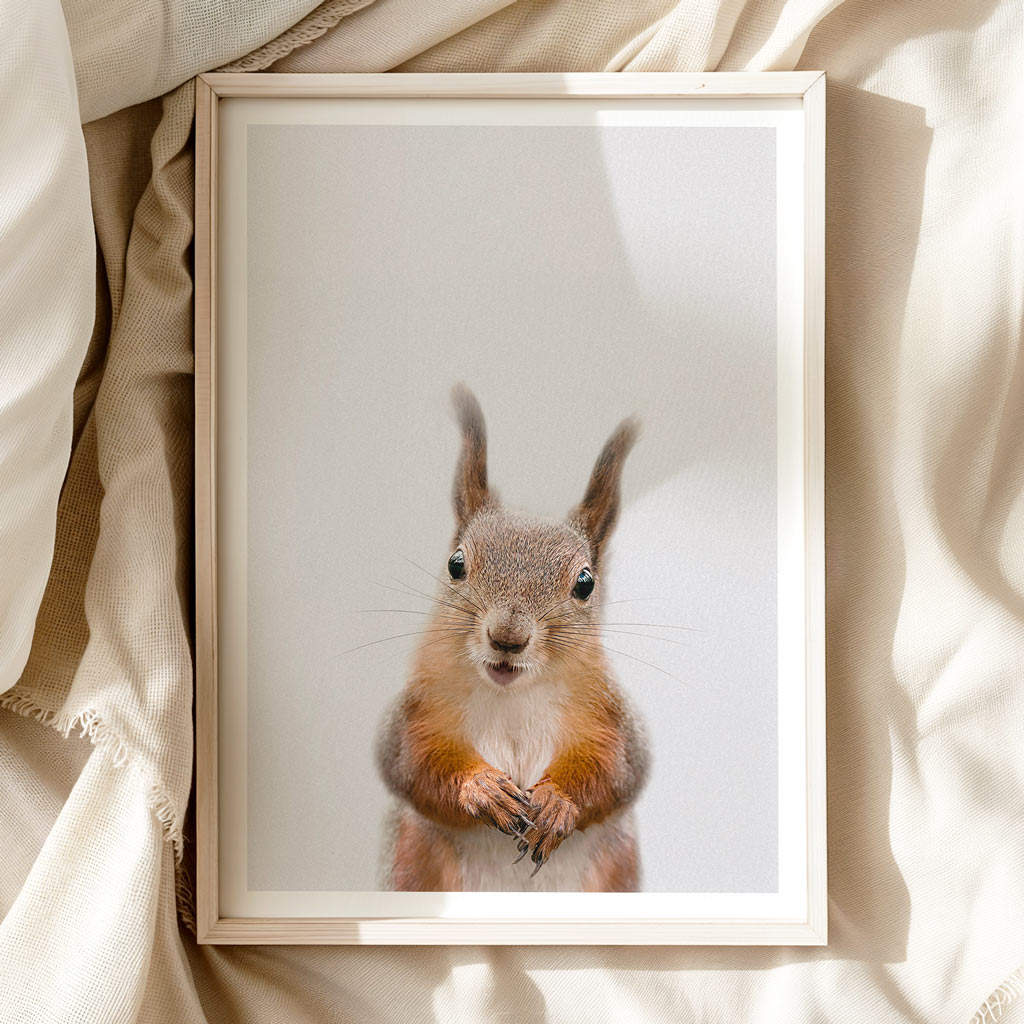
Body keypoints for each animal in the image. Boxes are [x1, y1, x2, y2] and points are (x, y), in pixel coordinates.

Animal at [376, 385, 649, 892]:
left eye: (585, 583)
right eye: (456, 564)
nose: (507, 637)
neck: (513, 698)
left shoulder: (611, 719)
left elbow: (616, 770)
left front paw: (558, 802)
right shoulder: (416, 710)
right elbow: (410, 762)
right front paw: (482, 788)